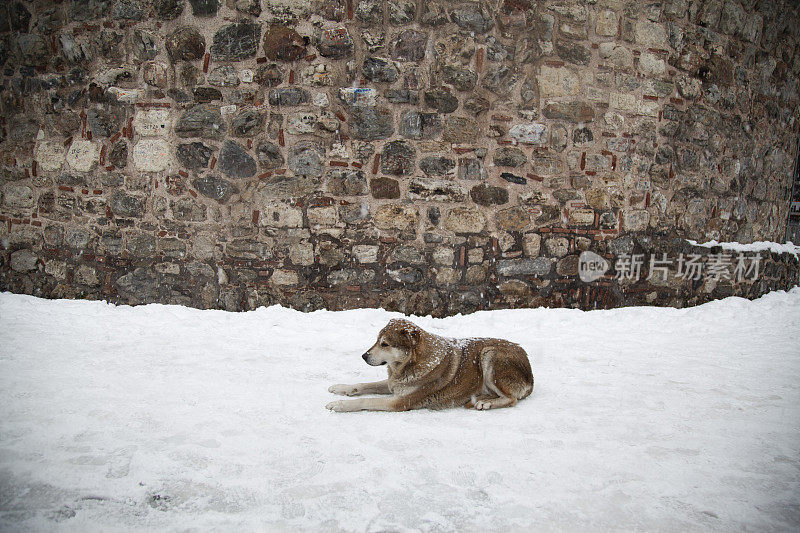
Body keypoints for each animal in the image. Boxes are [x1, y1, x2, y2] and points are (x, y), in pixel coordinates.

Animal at [324, 316, 532, 412]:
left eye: (385, 344)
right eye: (377, 341)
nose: (363, 356)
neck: (408, 365)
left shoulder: (400, 401)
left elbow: (365, 400)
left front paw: (339, 404)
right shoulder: (393, 384)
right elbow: (363, 386)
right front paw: (341, 388)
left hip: (489, 353)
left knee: (511, 399)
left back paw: (486, 403)